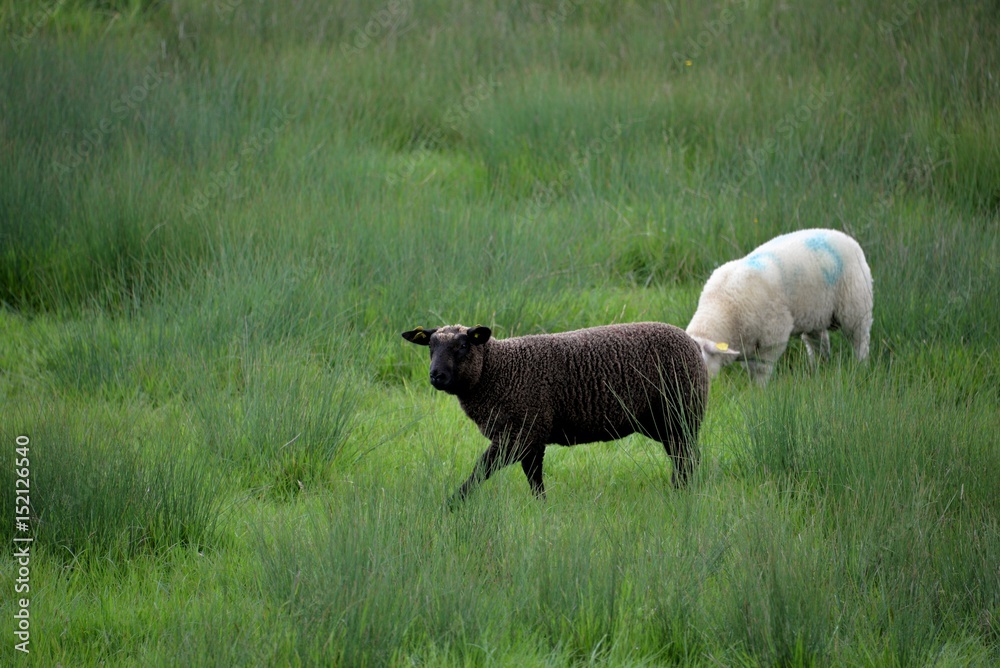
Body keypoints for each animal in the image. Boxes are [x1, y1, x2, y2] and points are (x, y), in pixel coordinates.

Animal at [402, 322, 709, 505]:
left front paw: (451, 506)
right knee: (683, 456)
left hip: (680, 412)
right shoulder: (531, 436)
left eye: (463, 346)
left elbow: (482, 470)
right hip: (663, 422)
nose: (436, 376)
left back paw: (683, 494)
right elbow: (533, 477)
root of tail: (692, 342)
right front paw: (542, 508)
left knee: (687, 456)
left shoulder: (520, 432)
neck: (497, 370)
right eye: (430, 347)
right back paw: (680, 491)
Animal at [686, 228, 873, 385]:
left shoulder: (773, 335)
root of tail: (846, 237)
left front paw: (759, 392)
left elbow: (761, 369)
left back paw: (860, 367)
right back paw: (819, 369)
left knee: (860, 341)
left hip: (856, 306)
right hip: (815, 314)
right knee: (818, 344)